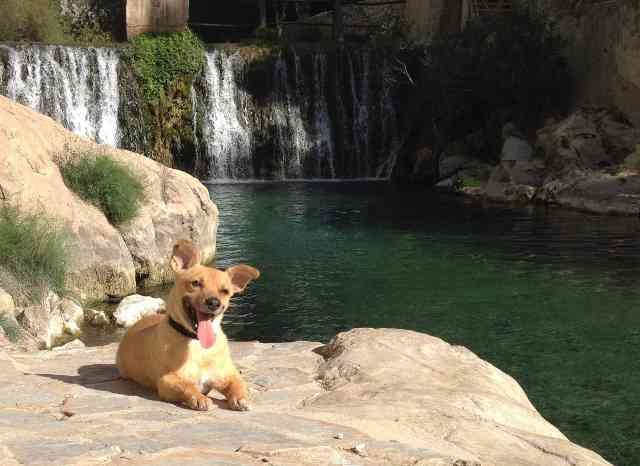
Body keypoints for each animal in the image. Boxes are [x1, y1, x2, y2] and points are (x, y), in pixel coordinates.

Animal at [116, 240, 258, 412]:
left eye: (225, 291)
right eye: (195, 283)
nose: (214, 302)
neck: (198, 345)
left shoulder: (228, 375)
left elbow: (238, 384)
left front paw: (241, 398)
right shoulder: (166, 380)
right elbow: (187, 386)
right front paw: (199, 398)